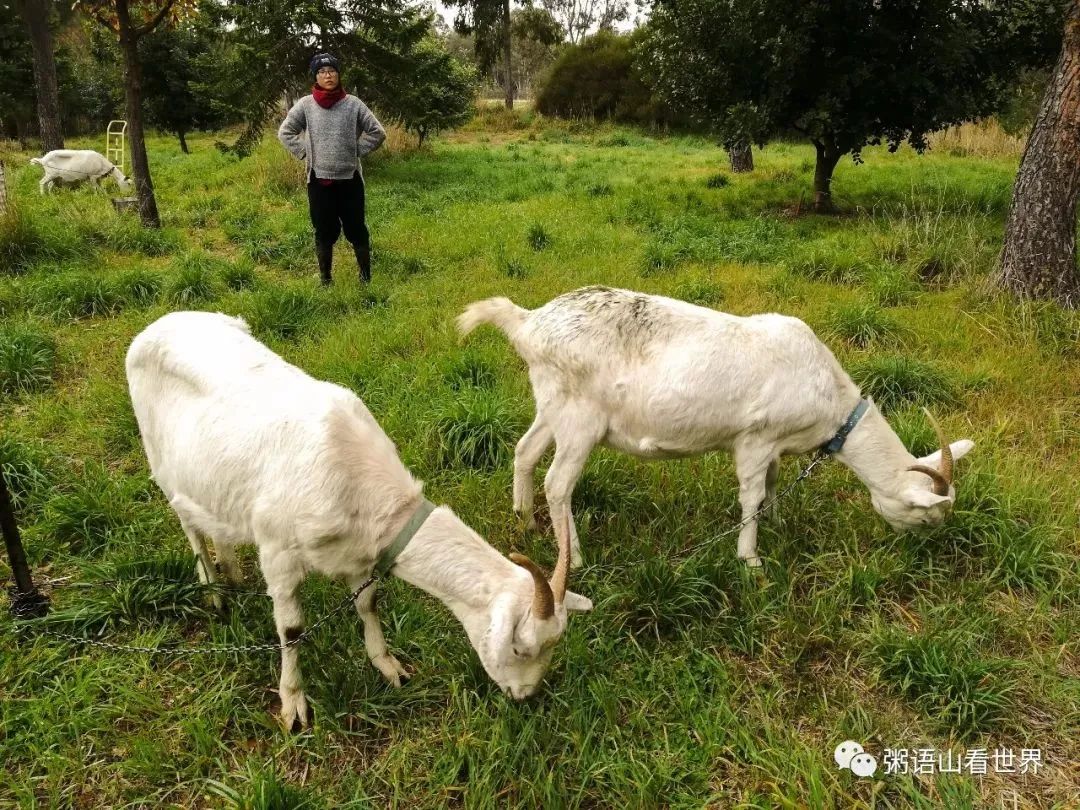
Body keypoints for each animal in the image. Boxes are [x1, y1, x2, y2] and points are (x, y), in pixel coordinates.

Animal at [126, 308, 591, 730]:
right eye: (520, 649)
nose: (525, 695)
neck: (356, 477)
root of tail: (161, 322)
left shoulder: (357, 553)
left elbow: (368, 603)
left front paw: (388, 666)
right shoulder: (278, 552)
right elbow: (291, 629)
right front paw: (293, 704)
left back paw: (233, 573)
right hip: (161, 461)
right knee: (188, 523)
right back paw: (213, 587)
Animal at [457, 289, 980, 565]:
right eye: (927, 515)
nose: (924, 549)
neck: (830, 397)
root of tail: (527, 323)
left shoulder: (774, 446)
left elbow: (772, 483)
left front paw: (777, 519)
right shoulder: (755, 438)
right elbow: (750, 492)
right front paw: (750, 559)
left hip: (553, 405)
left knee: (525, 451)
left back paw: (523, 519)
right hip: (581, 419)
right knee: (558, 483)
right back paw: (576, 558)